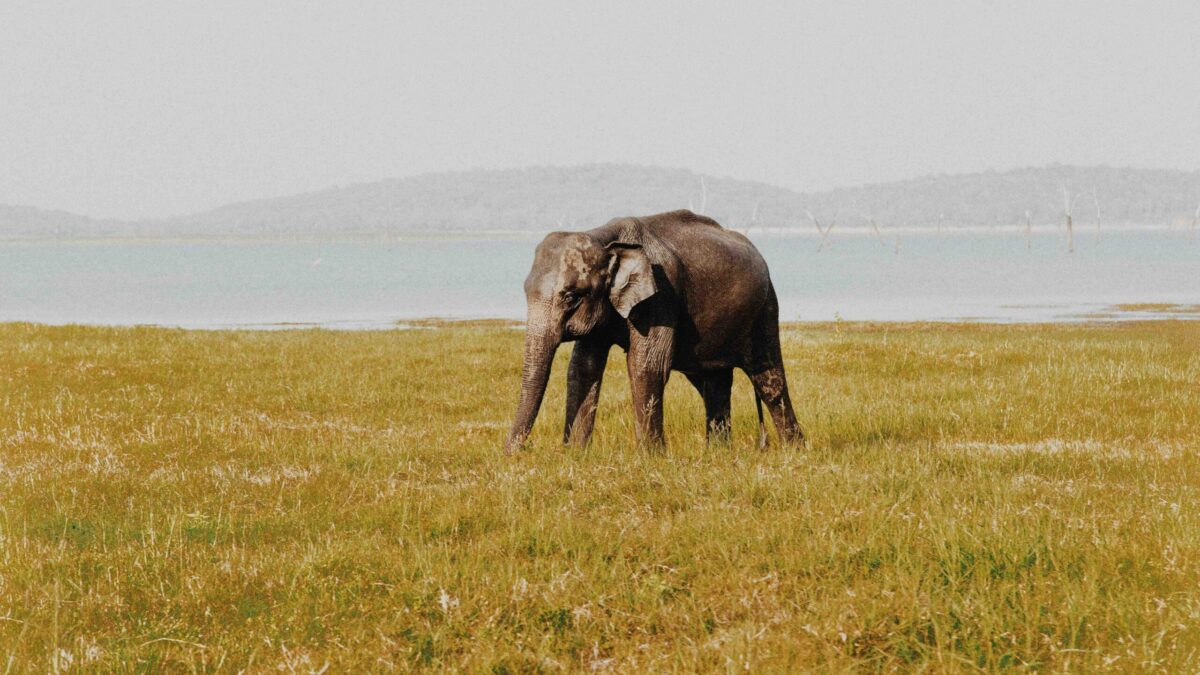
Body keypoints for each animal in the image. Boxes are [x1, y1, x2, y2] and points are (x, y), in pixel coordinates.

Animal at [505, 209, 804, 452]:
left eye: (570, 296)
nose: (519, 451)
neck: (604, 237)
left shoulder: (661, 294)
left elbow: (646, 365)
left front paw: (651, 457)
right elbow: (583, 367)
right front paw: (576, 454)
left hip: (765, 308)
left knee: (768, 379)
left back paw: (794, 450)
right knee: (712, 383)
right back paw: (719, 453)